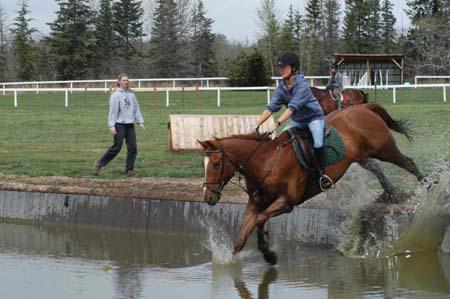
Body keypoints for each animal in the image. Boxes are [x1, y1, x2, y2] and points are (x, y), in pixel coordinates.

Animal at [200, 103, 426, 264]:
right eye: (203, 164)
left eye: (216, 164)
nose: (208, 197)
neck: (266, 162)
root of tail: (363, 107)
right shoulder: (255, 203)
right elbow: (242, 236)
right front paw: (234, 259)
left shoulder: (286, 203)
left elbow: (260, 219)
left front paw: (267, 251)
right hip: (362, 155)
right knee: (376, 168)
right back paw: (389, 192)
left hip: (384, 148)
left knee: (408, 163)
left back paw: (427, 187)